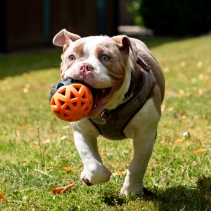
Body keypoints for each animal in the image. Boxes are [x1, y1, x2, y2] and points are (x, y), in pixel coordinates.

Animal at [52, 28, 165, 195]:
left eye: (105, 57)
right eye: (71, 57)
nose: (84, 66)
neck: (108, 111)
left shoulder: (145, 135)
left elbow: (137, 165)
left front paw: (131, 191)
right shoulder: (82, 132)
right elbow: (94, 166)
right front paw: (89, 176)